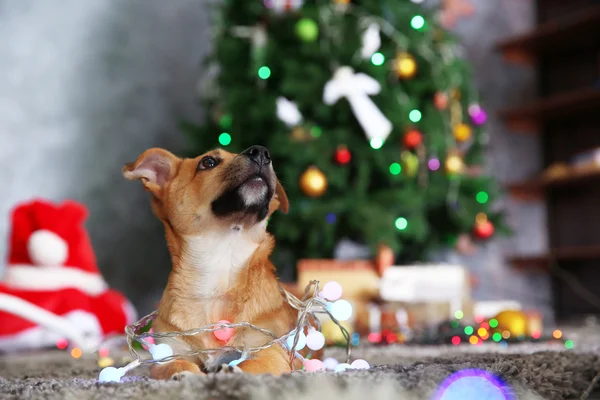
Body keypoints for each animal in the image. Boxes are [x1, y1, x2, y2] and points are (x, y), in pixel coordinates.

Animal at [122, 145, 310, 380]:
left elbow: (251, 365)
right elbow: (176, 364)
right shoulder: (168, 354)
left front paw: (232, 371)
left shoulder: (270, 351)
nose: (261, 152)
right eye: (208, 162)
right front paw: (186, 374)